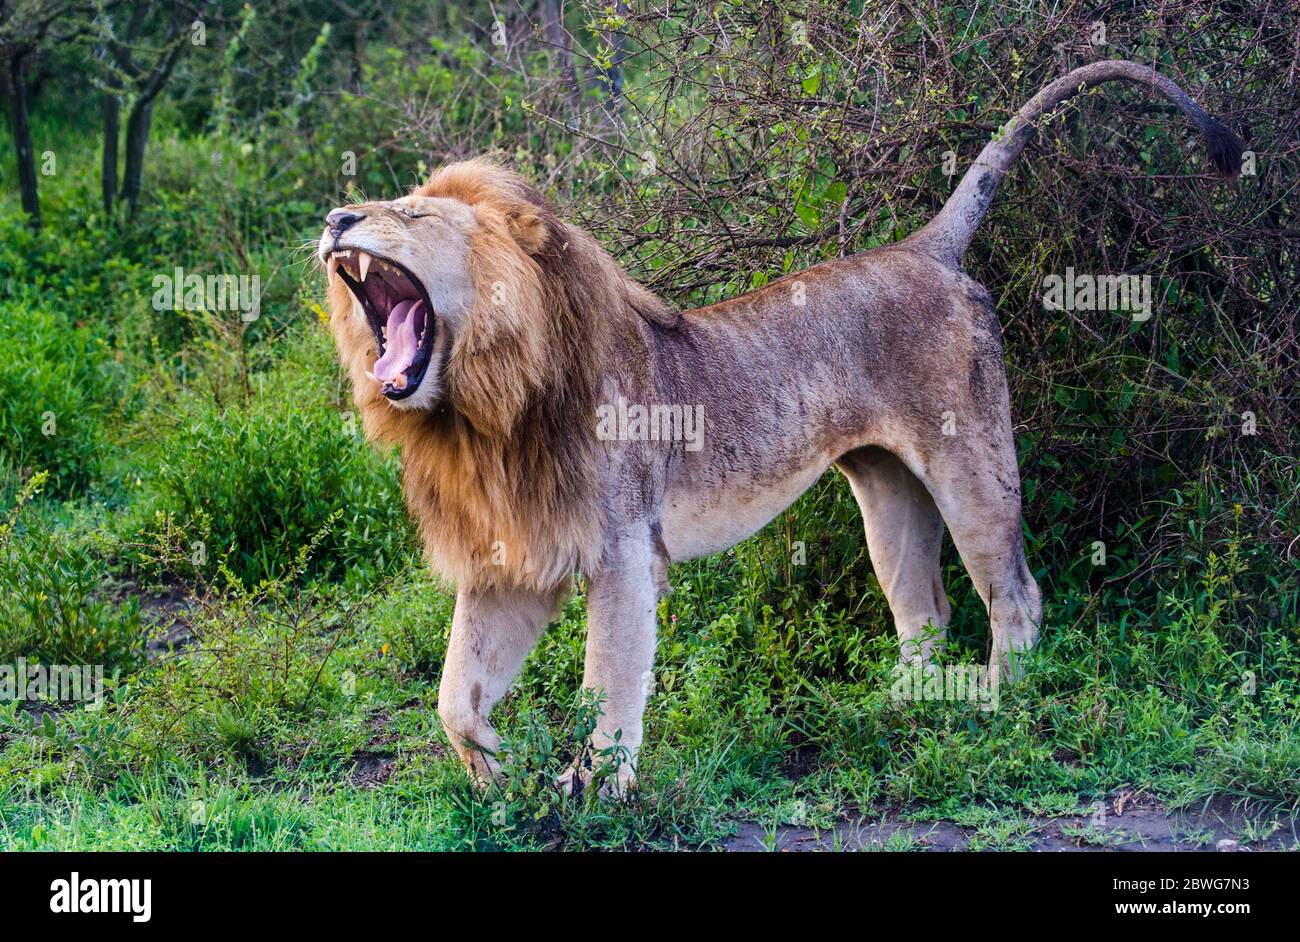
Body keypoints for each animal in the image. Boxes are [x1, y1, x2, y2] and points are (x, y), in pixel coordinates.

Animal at [317, 61, 1241, 793]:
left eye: (414, 215)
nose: (333, 221)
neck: (481, 411)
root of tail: (927, 248)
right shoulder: (512, 557)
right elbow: (454, 694)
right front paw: (497, 777)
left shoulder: (622, 550)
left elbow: (608, 686)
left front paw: (594, 791)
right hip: (885, 491)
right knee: (926, 612)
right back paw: (895, 712)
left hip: (973, 466)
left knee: (1014, 593)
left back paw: (997, 704)